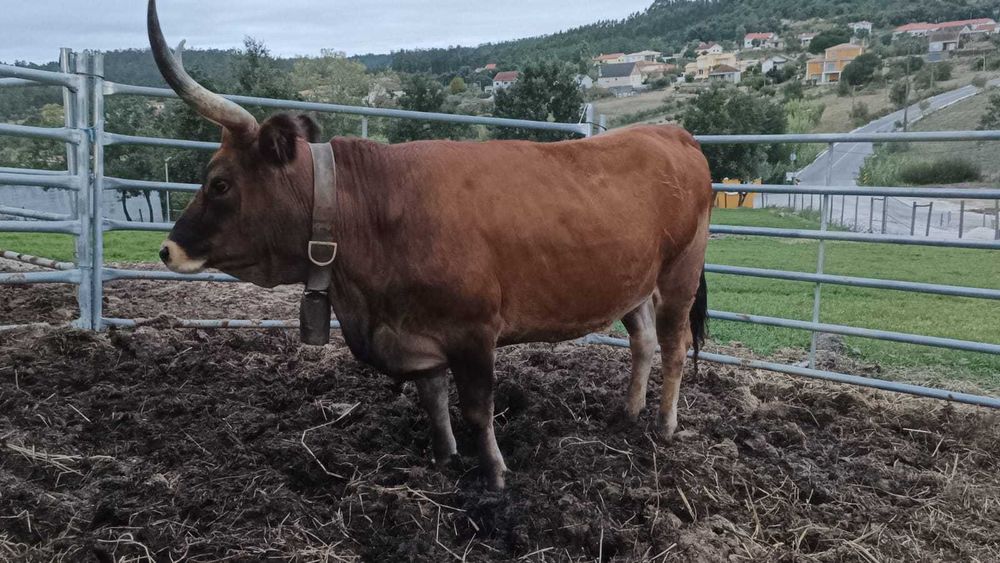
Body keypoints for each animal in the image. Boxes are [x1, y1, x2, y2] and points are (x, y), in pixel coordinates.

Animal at [147, 0, 712, 490]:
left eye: (220, 182)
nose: (168, 250)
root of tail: (671, 133)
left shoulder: (474, 332)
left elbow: (478, 409)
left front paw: (495, 476)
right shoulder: (418, 330)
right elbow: (434, 401)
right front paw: (443, 460)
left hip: (679, 274)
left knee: (674, 344)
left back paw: (664, 426)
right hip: (633, 281)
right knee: (642, 341)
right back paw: (628, 413)